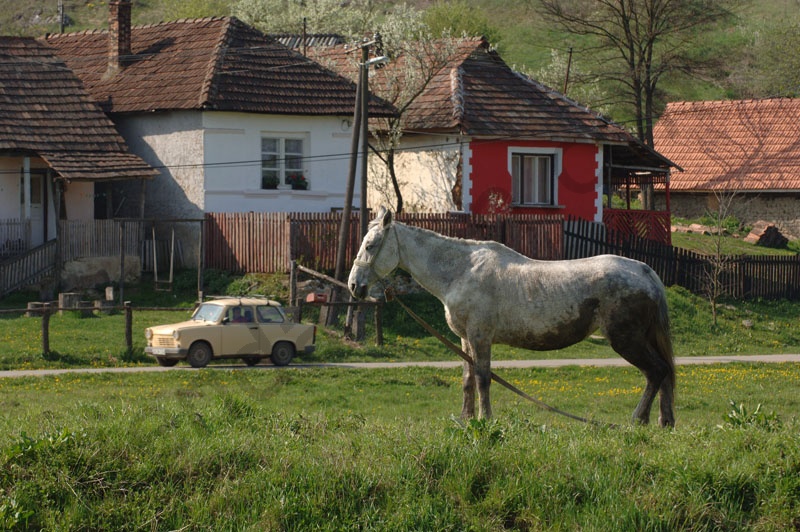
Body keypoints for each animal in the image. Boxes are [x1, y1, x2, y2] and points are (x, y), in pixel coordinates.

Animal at [348, 208, 676, 428]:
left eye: (370, 245)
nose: (354, 285)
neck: (461, 270)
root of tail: (645, 271)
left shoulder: (480, 336)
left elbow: (483, 378)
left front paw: (485, 419)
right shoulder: (466, 339)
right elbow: (467, 379)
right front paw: (466, 418)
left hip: (626, 340)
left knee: (656, 372)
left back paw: (638, 420)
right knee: (664, 373)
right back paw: (664, 421)